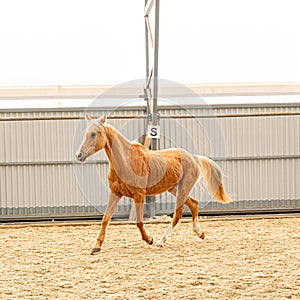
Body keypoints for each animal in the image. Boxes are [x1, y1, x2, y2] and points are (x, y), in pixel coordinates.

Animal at [76, 114, 231, 253]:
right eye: (85, 133)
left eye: (93, 134)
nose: (79, 155)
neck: (126, 161)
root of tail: (194, 158)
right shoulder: (115, 193)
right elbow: (105, 219)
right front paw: (96, 247)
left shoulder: (139, 195)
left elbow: (139, 222)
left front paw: (149, 239)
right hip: (175, 189)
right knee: (194, 204)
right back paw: (200, 233)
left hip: (183, 189)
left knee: (177, 215)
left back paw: (161, 241)